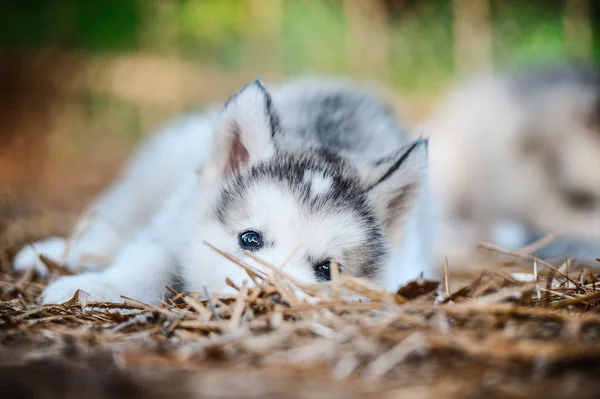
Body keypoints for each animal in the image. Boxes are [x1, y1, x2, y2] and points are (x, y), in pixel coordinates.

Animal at [11, 76, 434, 304]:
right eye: (249, 239)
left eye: (327, 270)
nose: (269, 296)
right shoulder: (175, 225)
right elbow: (146, 260)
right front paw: (95, 287)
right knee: (110, 224)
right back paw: (57, 254)